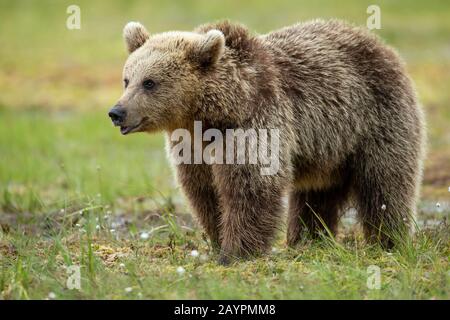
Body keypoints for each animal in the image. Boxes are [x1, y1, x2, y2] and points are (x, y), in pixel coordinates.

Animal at [109, 20, 426, 264]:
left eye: (150, 82)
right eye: (127, 79)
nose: (117, 112)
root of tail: (381, 45)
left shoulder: (257, 123)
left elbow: (251, 187)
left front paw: (235, 253)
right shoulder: (192, 147)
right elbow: (204, 192)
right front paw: (218, 239)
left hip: (375, 120)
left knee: (385, 183)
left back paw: (389, 240)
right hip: (328, 150)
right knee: (317, 195)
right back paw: (308, 239)